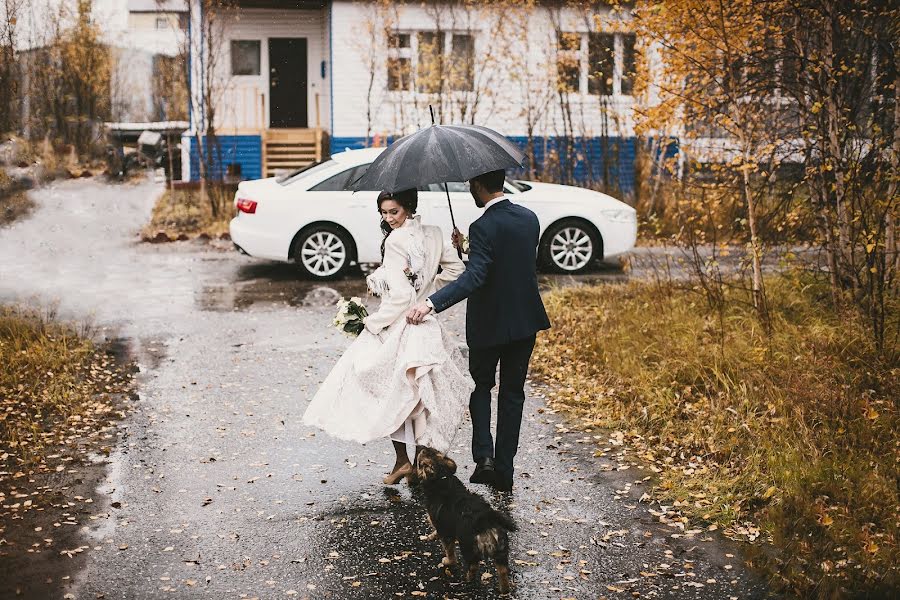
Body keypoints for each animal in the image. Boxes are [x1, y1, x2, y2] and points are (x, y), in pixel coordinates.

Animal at [414, 448, 516, 592]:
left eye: (420, 462)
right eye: (435, 451)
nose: (422, 449)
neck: (443, 478)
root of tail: (486, 519)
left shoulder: (445, 530)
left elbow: (449, 550)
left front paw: (448, 561)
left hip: (468, 546)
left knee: (473, 566)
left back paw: (468, 579)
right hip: (501, 550)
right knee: (503, 570)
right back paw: (504, 589)